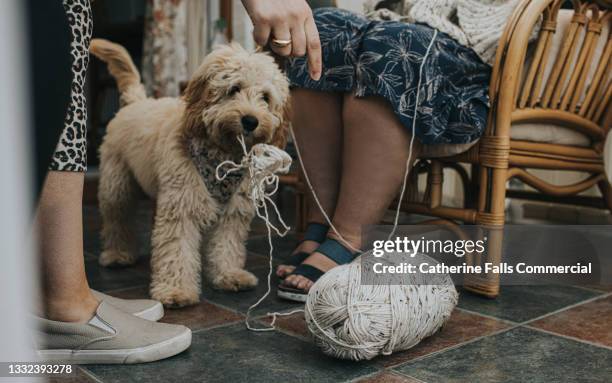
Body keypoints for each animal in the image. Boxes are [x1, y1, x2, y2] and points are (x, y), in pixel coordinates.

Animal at [89, 39, 290, 308]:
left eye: (265, 98)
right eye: (234, 88)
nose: (250, 121)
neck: (220, 157)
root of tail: (136, 101)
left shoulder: (233, 211)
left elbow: (227, 244)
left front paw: (229, 275)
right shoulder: (181, 206)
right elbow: (177, 248)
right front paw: (176, 291)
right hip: (116, 185)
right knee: (117, 220)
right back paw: (118, 253)